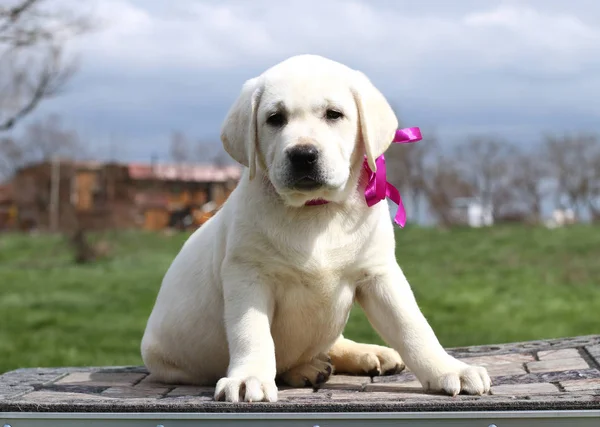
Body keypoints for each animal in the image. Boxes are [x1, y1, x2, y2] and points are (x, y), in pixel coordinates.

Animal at [142, 53, 492, 402]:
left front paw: (448, 369)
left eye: (334, 114)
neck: (317, 212)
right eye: (275, 118)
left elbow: (413, 326)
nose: (303, 154)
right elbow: (251, 332)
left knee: (331, 343)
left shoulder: (379, 274)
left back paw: (367, 354)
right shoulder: (248, 276)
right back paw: (309, 368)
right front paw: (248, 377)